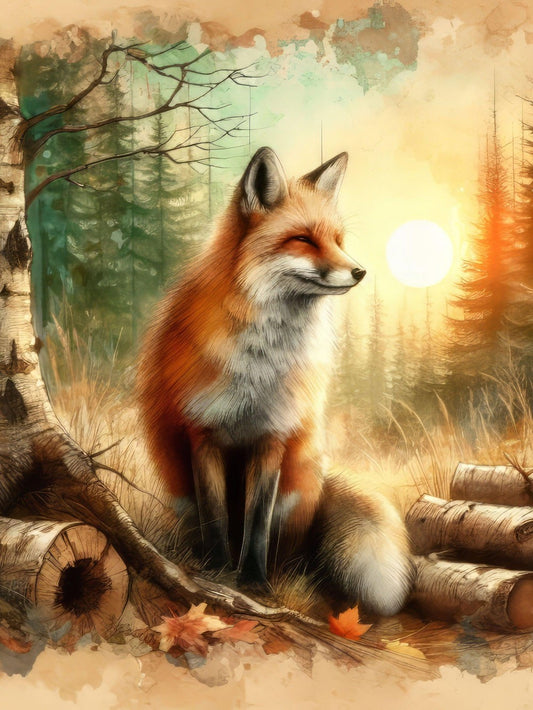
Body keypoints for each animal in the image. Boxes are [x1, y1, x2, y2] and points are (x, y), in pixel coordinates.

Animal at [137, 147, 413, 616]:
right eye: (303, 239)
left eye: (338, 240)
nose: (359, 272)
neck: (258, 367)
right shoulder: (202, 434)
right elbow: (216, 519)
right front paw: (217, 574)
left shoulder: (273, 437)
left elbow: (257, 526)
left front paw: (254, 581)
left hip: (297, 488)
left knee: (292, 551)